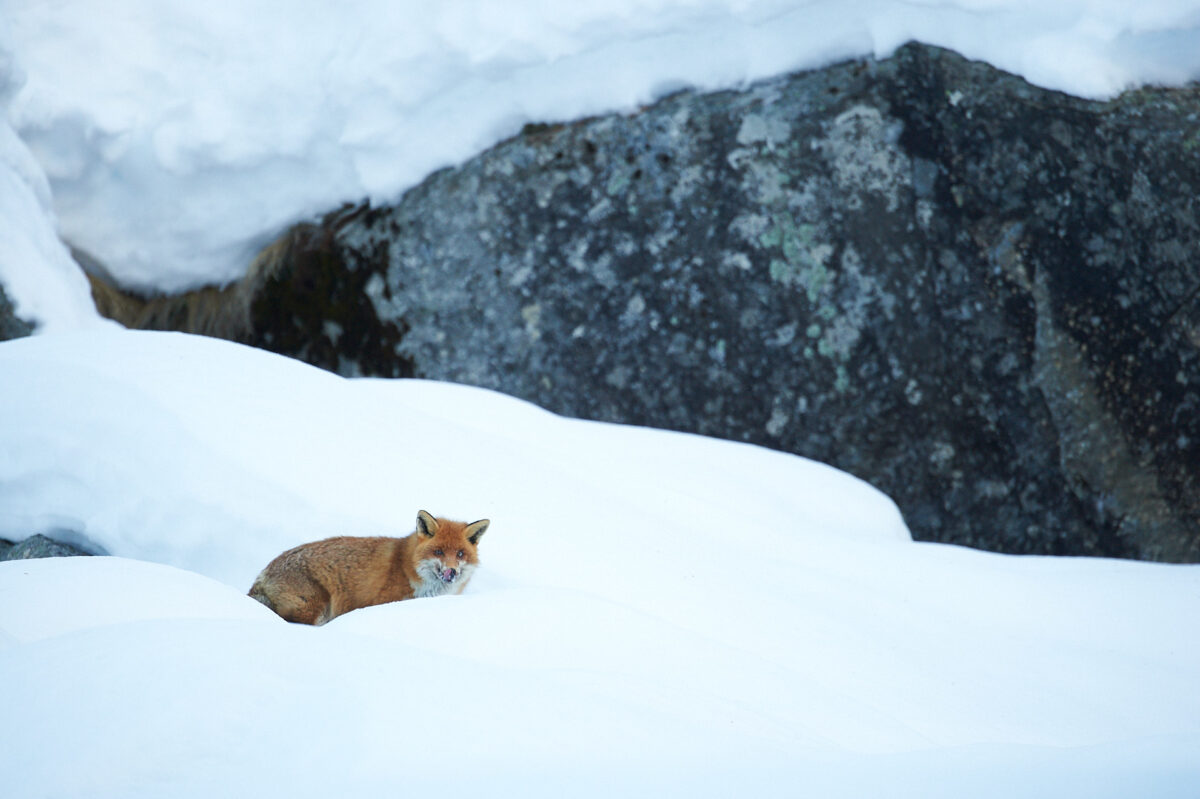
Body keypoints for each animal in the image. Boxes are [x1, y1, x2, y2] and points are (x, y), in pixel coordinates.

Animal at [248, 510, 490, 625]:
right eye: (438, 552)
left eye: (460, 554)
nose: (451, 572)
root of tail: (262, 574)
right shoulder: (384, 601)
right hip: (316, 609)